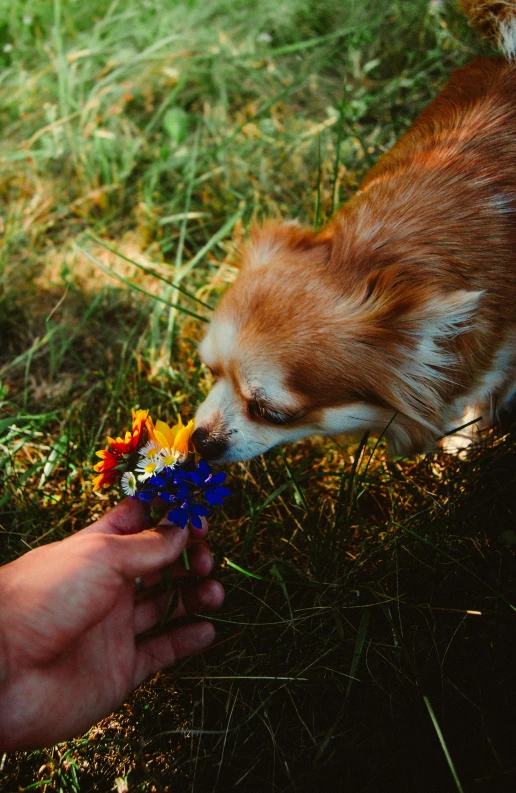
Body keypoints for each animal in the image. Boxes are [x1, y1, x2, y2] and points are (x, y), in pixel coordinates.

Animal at [191, 0, 516, 460]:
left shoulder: (503, 355)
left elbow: (485, 395)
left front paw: (463, 440)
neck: (374, 252)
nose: (201, 441)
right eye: (209, 370)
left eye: (273, 413)